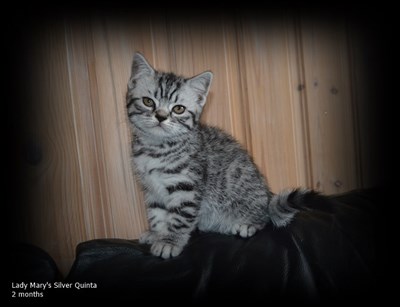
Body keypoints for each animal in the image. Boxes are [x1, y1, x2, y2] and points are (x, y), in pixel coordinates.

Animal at [127, 53, 316, 260]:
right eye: (148, 102)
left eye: (178, 109)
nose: (160, 116)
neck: (156, 148)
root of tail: (268, 199)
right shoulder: (151, 189)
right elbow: (157, 215)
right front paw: (157, 234)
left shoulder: (187, 188)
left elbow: (179, 218)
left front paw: (169, 241)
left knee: (265, 219)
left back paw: (248, 224)